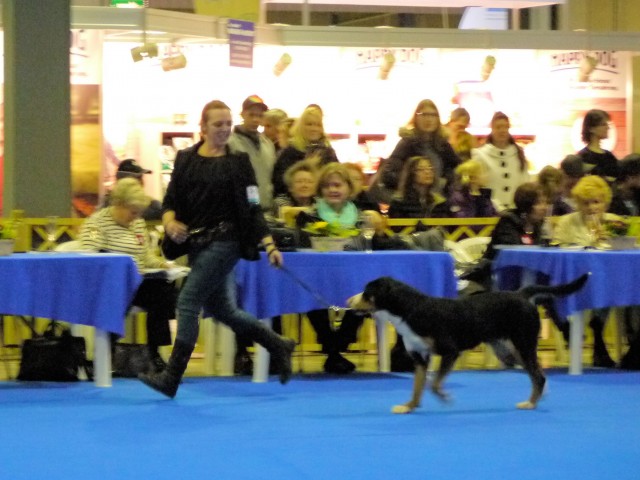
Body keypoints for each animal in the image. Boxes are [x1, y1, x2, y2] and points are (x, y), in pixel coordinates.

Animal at [348, 276, 588, 414]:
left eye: (367, 293)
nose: (348, 302)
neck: (411, 311)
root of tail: (520, 294)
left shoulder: (450, 351)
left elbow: (434, 384)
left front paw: (445, 397)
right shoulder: (420, 358)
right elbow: (417, 387)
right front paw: (408, 407)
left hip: (523, 344)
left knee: (538, 376)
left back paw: (530, 404)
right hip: (509, 350)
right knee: (538, 374)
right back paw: (538, 397)